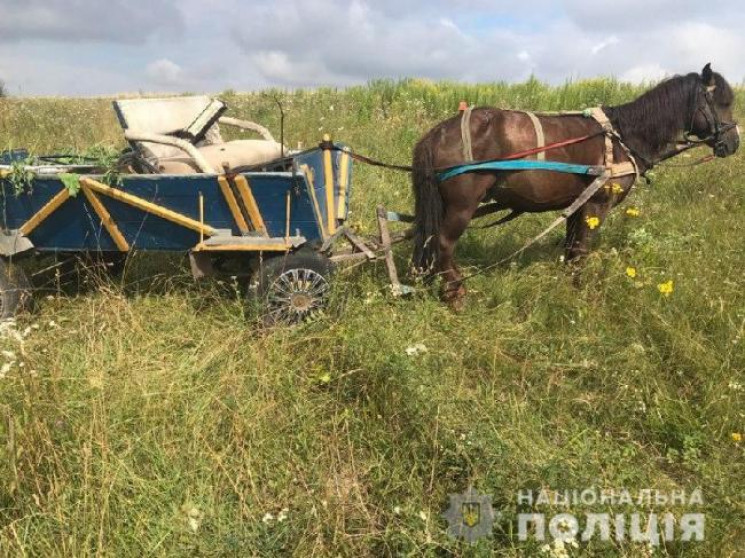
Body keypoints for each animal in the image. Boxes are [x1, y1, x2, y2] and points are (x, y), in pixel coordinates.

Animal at [412, 66, 740, 310]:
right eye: (721, 103)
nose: (734, 142)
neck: (622, 136)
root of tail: (438, 132)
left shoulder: (579, 204)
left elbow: (571, 249)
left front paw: (566, 286)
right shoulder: (597, 204)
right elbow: (581, 250)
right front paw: (579, 294)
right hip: (462, 206)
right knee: (443, 243)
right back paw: (455, 295)